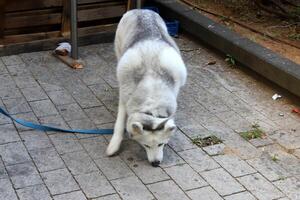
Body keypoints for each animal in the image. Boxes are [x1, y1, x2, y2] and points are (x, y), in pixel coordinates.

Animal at [105, 9, 185, 167]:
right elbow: (119, 124)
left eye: (161, 144)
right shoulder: (124, 99)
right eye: (146, 145)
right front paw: (114, 145)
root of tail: (142, 10)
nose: (155, 163)